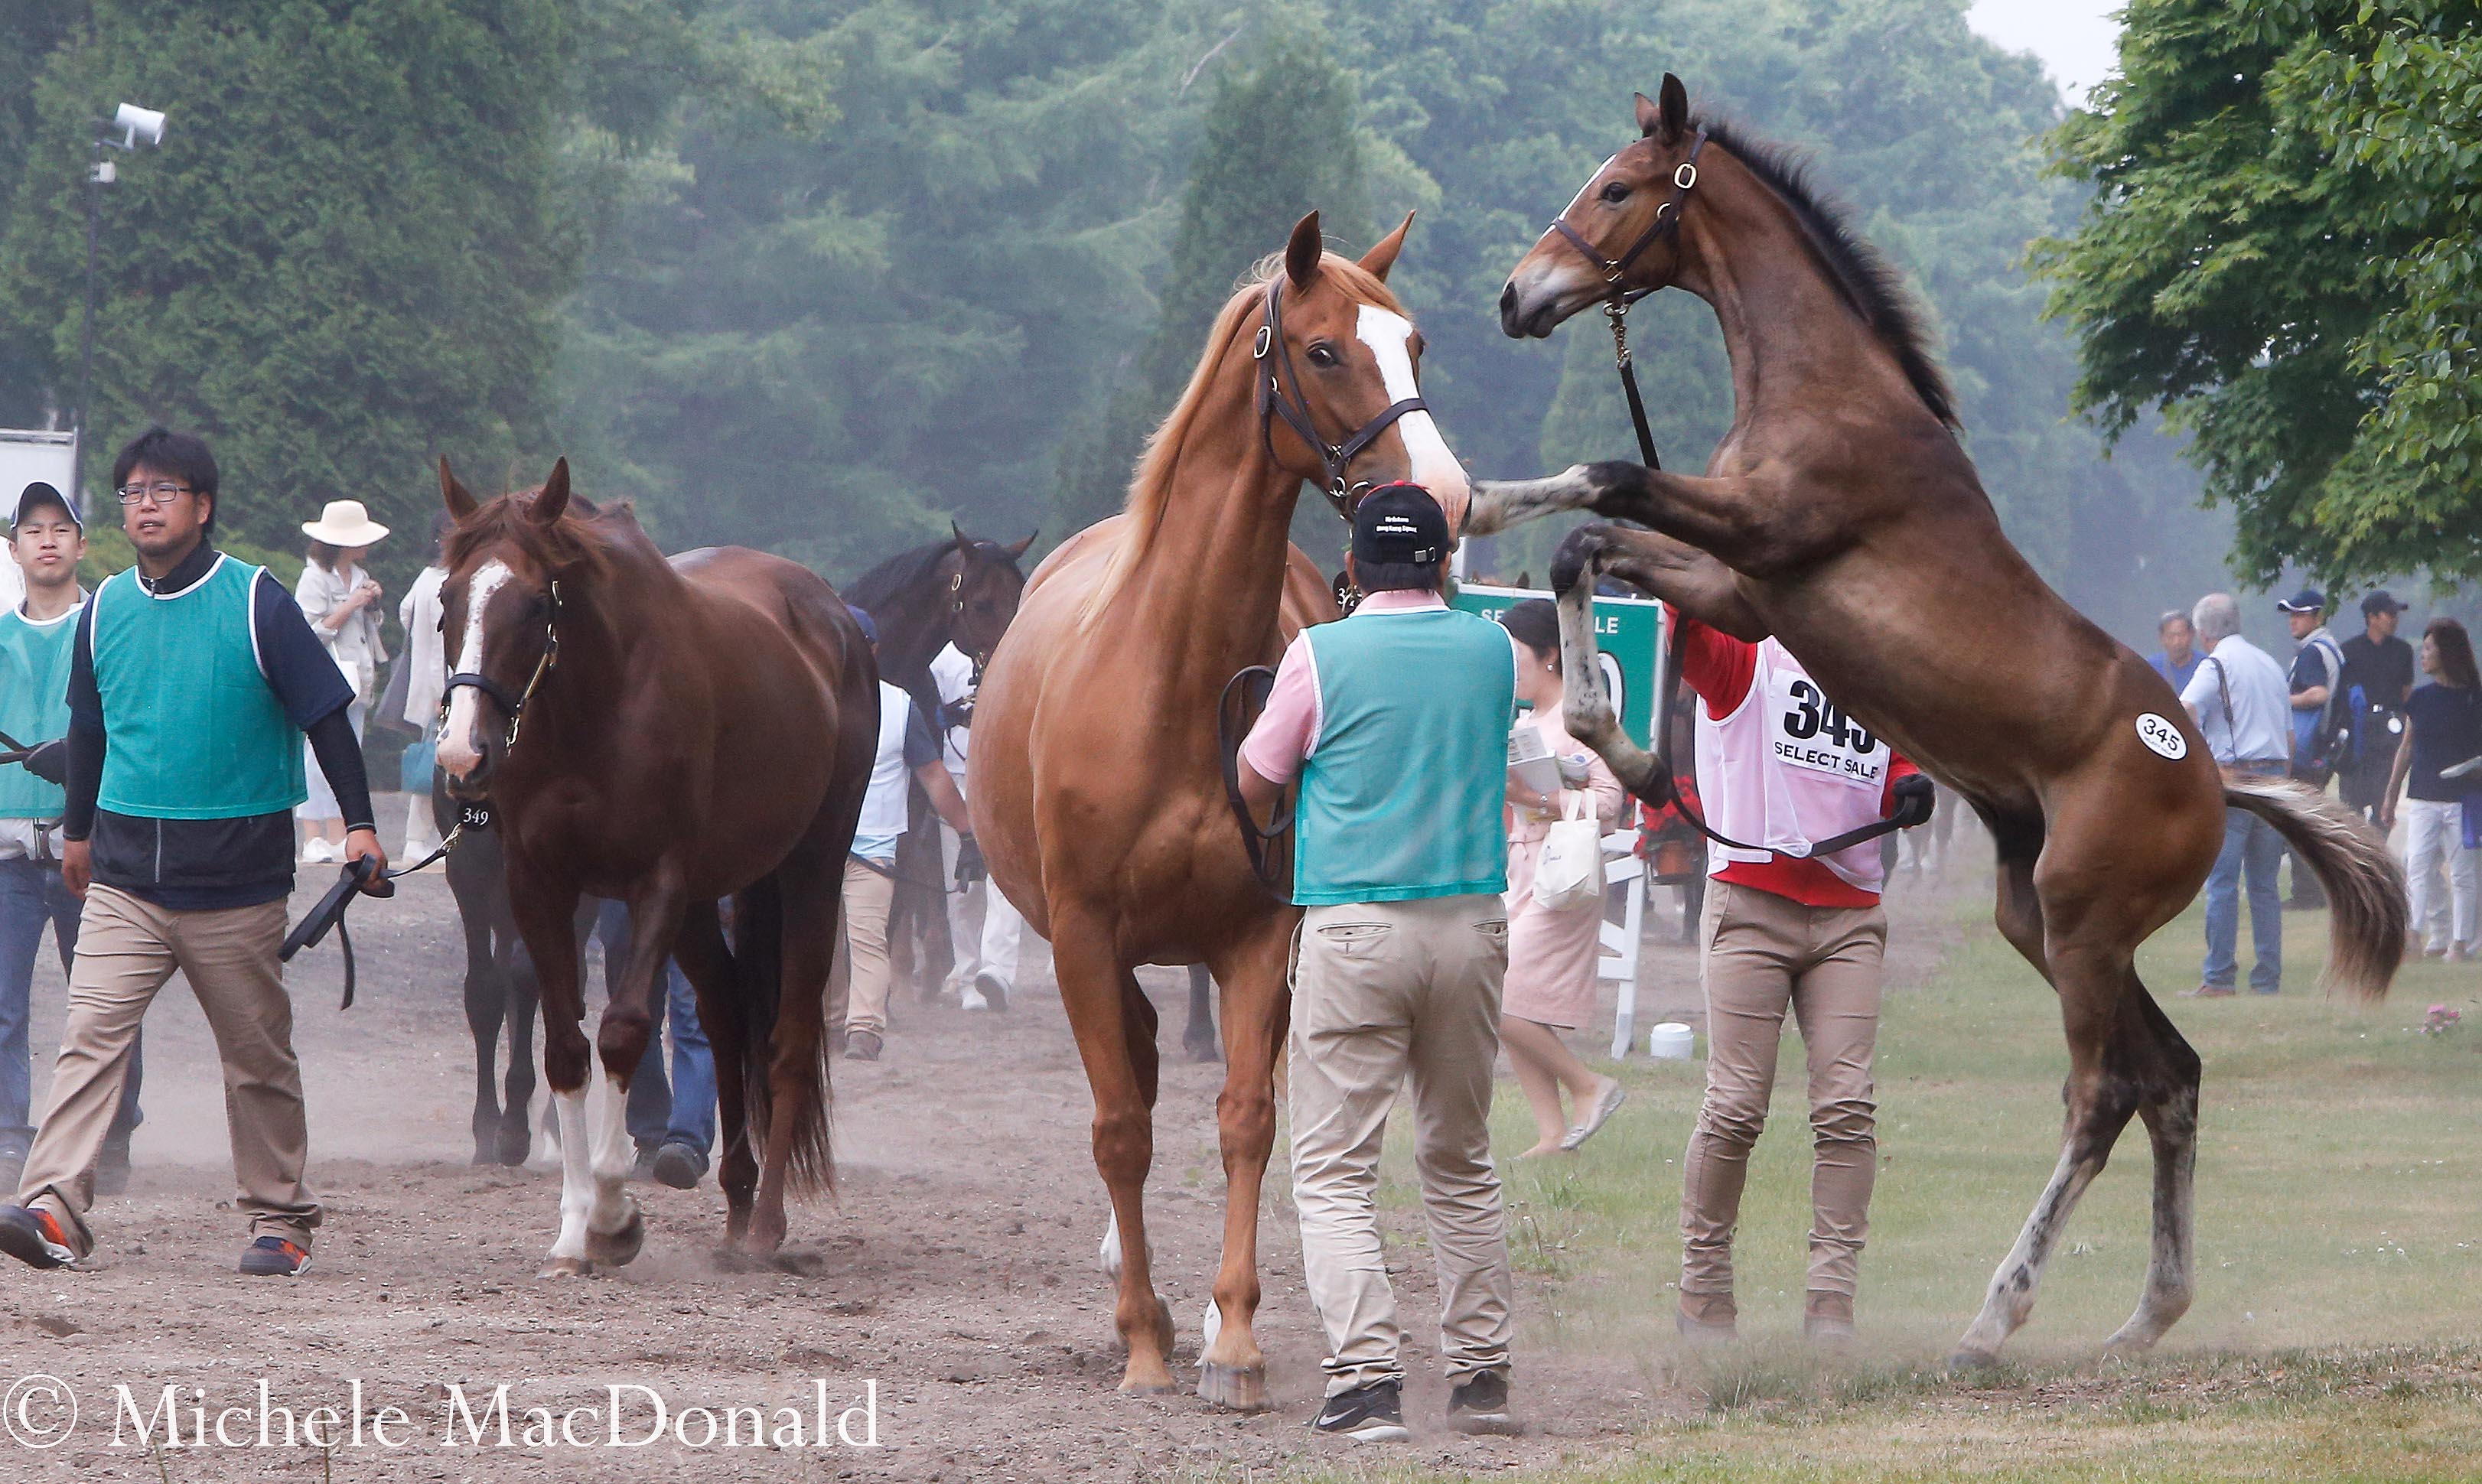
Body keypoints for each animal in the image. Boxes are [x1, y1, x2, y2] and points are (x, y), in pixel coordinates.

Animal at [432, 461, 878, 1280]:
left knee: (789, 1035)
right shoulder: (539, 885)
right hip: (703, 904)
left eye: (534, 603)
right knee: (729, 1012)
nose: (462, 757)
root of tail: (830, 616)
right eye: (448, 600)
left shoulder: (656, 883)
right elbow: (565, 1047)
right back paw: (735, 1203)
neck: (596, 708)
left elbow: (624, 1031)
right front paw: (573, 1228)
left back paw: (765, 1227)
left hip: (811, 865)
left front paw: (613, 1216)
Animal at [968, 214, 1469, 1409]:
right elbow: (1119, 1131)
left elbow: (1245, 1120)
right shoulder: (1086, 937)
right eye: (1326, 351)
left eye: (1415, 343)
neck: (1177, 676)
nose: (1446, 494)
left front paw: (1229, 1336)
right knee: (1132, 1095)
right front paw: (1143, 1341)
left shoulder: (1257, 938)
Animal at [1469, 75, 2402, 1369]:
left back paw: (1994, 1316)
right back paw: (2145, 1316)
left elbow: (1609, 480)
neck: (1828, 390)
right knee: (2172, 1075)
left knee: (2105, 1094)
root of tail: (2216, 782)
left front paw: (1599, 714)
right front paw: (1607, 715)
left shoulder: (1765, 536)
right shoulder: (1746, 591)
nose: (1518, 295)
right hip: (2041, 918)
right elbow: (1582, 536)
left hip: (2084, 929)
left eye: (1616, 188)